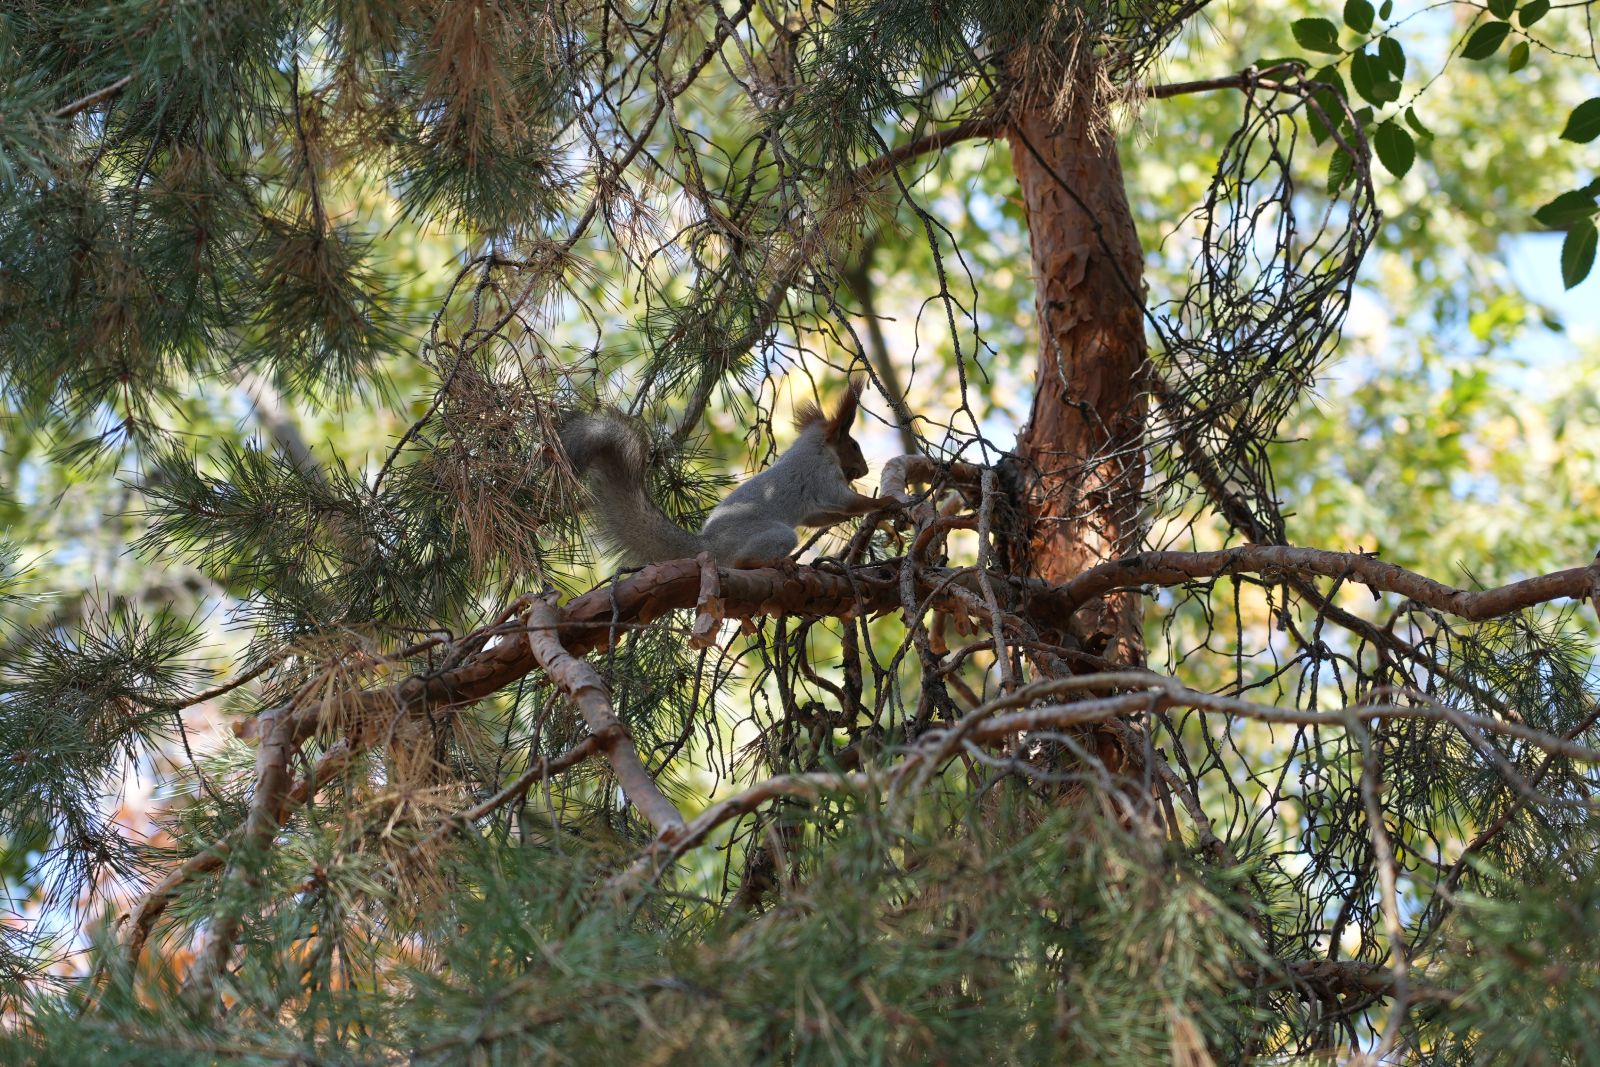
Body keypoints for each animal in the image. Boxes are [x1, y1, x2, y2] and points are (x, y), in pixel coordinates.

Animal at [559, 380, 891, 568]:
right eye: (853, 444)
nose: (864, 469)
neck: (815, 447)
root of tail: (708, 546)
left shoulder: (817, 502)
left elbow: (822, 516)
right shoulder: (822, 474)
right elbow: (846, 501)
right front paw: (885, 503)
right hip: (773, 534)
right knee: (741, 561)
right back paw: (774, 564)